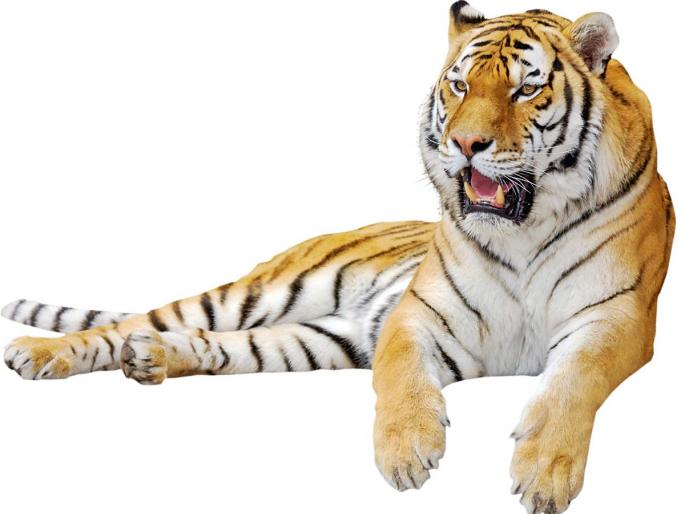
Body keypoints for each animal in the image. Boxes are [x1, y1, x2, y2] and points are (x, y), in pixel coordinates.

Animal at [2, 3, 674, 513]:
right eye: (460, 85)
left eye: (526, 88)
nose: (464, 144)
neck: (524, 230)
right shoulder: (417, 313)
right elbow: (400, 376)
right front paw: (407, 451)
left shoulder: (617, 317)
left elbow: (571, 383)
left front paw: (543, 474)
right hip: (259, 293)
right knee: (133, 323)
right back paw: (38, 353)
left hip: (320, 338)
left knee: (213, 347)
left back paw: (151, 360)